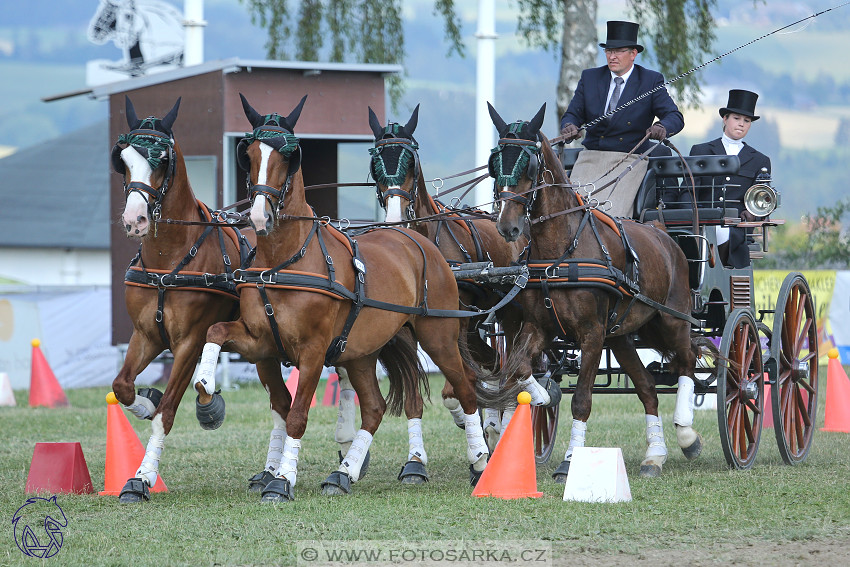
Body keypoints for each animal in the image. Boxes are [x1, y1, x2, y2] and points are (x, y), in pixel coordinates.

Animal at [111, 96, 274, 502]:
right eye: (123, 160)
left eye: (161, 159)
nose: (135, 220)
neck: (168, 259)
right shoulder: (146, 335)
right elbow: (122, 387)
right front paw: (145, 401)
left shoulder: (189, 341)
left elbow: (168, 411)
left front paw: (142, 477)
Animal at [199, 95, 504, 504]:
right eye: (248, 153)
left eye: (289, 154)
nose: (261, 215)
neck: (285, 259)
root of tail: (417, 239)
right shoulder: (259, 341)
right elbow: (217, 332)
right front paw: (205, 389)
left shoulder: (312, 351)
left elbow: (297, 414)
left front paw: (282, 480)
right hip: (361, 351)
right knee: (374, 407)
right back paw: (343, 472)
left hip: (437, 335)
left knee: (466, 388)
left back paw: (480, 460)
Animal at [486, 102, 704, 480]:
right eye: (494, 163)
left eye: (530, 165)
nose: (508, 227)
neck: (561, 251)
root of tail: (664, 232)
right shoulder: (539, 327)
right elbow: (519, 369)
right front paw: (543, 396)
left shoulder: (590, 334)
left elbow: (582, 400)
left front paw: (571, 459)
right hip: (621, 335)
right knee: (648, 387)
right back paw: (654, 456)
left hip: (672, 320)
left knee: (687, 362)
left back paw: (687, 434)